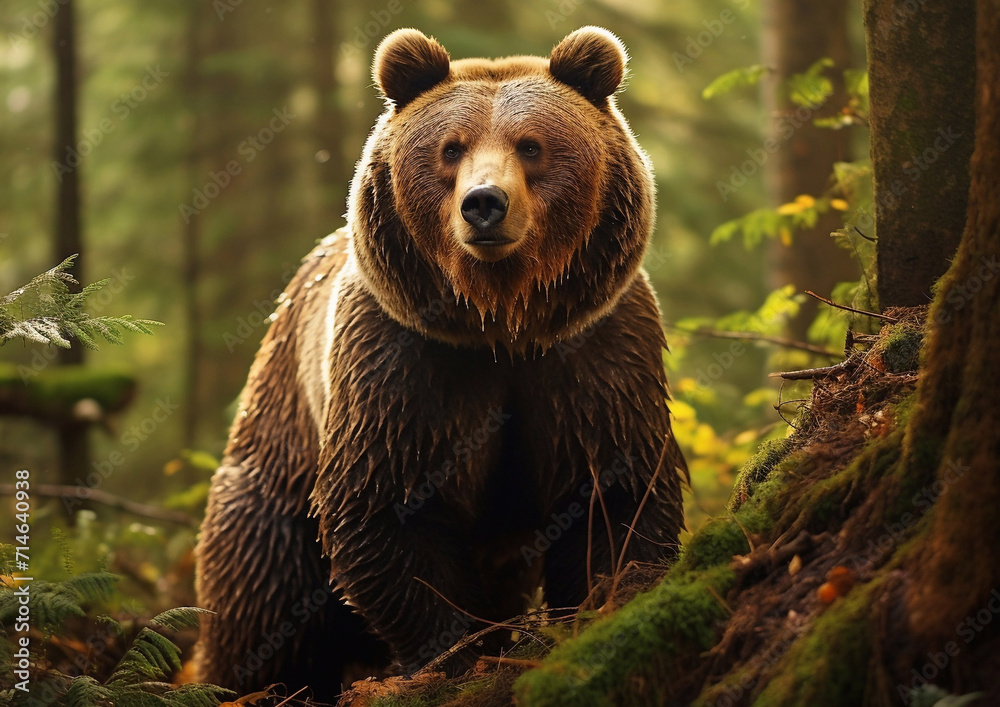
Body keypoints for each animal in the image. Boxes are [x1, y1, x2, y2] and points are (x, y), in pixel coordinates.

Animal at [195, 26, 687, 700]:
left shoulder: (593, 349)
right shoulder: (407, 359)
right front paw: (454, 653)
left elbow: (612, 489)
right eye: (450, 148)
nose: (484, 204)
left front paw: (600, 604)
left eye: (531, 145)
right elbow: (391, 505)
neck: (501, 321)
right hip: (275, 473)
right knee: (261, 598)